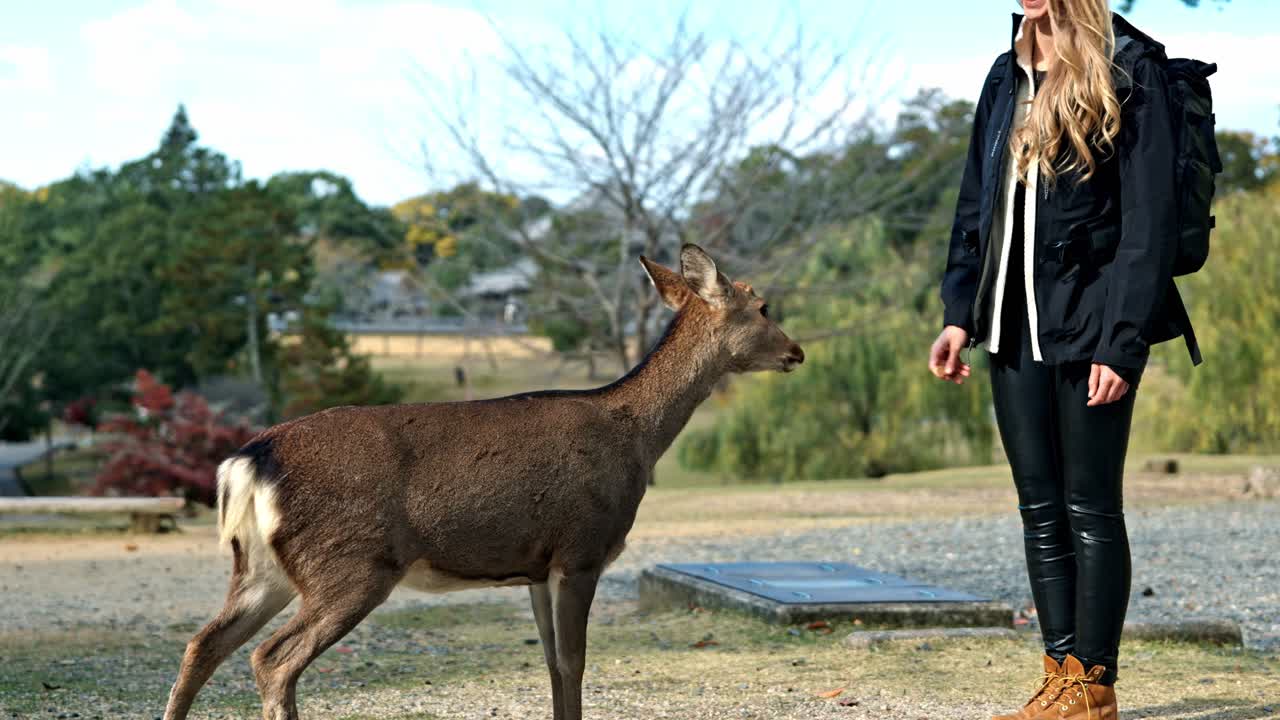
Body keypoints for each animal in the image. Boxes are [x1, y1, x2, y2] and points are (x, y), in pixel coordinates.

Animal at [162, 244, 804, 720]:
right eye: (764, 306)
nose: (797, 352)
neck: (636, 439)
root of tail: (248, 461)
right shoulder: (581, 548)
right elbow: (575, 663)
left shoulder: (536, 567)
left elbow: (553, 666)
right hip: (349, 562)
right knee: (273, 658)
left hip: (262, 567)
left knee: (203, 644)